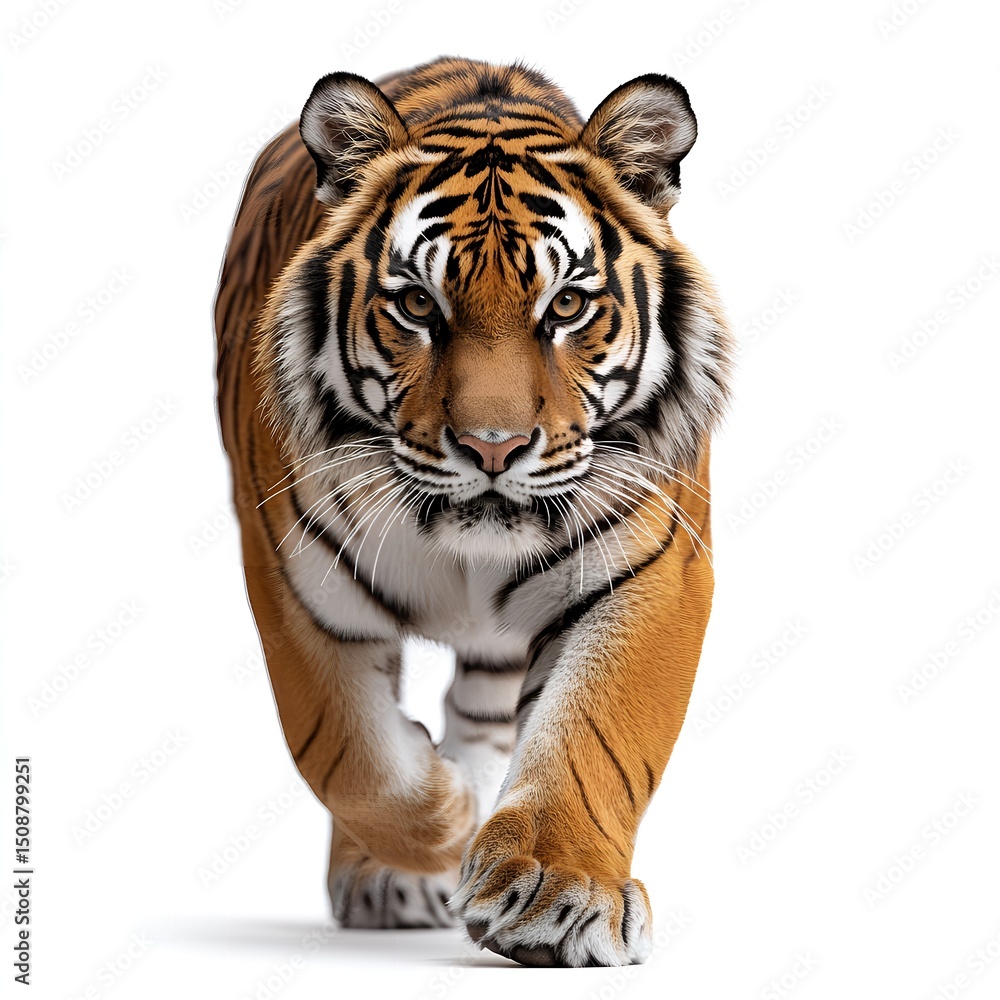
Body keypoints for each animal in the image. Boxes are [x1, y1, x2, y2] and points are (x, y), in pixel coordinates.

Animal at [214, 56, 732, 967]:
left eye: (567, 307)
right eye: (419, 306)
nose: (495, 448)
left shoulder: (653, 568)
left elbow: (595, 734)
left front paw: (556, 892)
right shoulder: (294, 580)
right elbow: (353, 754)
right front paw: (449, 818)